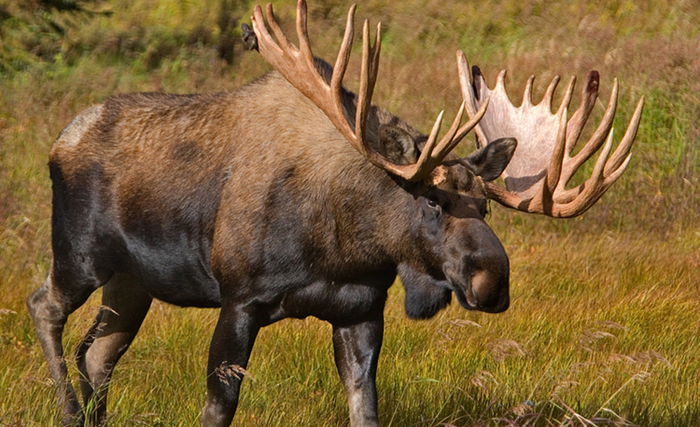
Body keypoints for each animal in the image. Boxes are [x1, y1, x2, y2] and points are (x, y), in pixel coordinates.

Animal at [27, 0, 644, 427]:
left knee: (98, 353)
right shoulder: (239, 299)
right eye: (431, 199)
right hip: (80, 256)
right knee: (44, 307)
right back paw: (67, 411)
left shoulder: (360, 311)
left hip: (132, 282)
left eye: (488, 205)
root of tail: (58, 142)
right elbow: (218, 408)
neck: (344, 244)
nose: (492, 281)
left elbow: (365, 408)